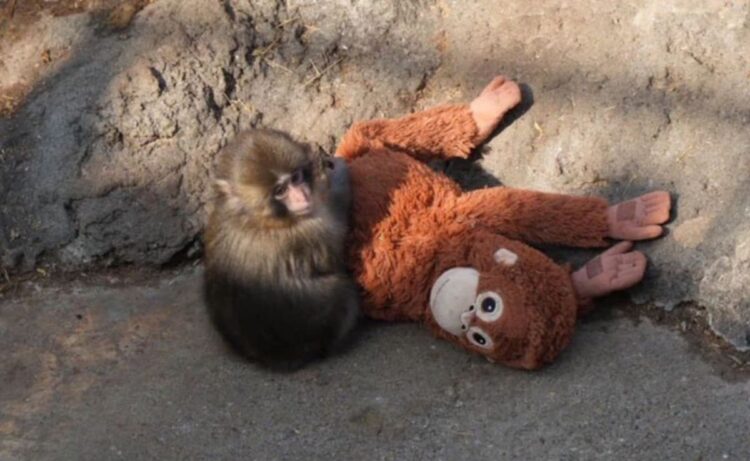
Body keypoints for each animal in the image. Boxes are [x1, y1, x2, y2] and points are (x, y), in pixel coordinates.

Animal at [203, 128, 360, 370]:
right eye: (280, 190)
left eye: (295, 178)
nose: (303, 195)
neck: (255, 217)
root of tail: (278, 357)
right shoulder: (312, 230)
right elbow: (335, 251)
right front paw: (338, 174)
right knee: (344, 294)